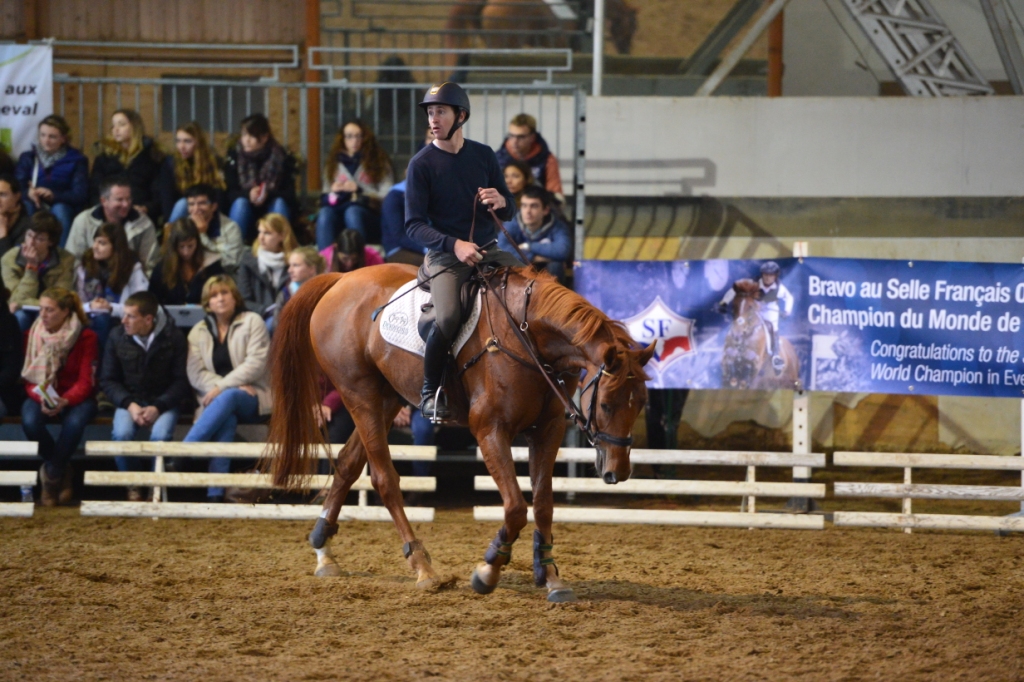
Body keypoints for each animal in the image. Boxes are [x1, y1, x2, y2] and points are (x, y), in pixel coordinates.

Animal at [262, 266, 647, 602]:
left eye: (642, 402)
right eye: (606, 405)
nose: (618, 472)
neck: (528, 335)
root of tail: (341, 278)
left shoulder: (546, 431)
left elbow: (543, 505)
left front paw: (551, 576)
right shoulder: (490, 430)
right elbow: (515, 507)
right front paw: (488, 570)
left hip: (386, 398)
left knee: (347, 463)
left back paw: (324, 550)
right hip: (360, 394)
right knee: (384, 478)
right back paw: (422, 567)